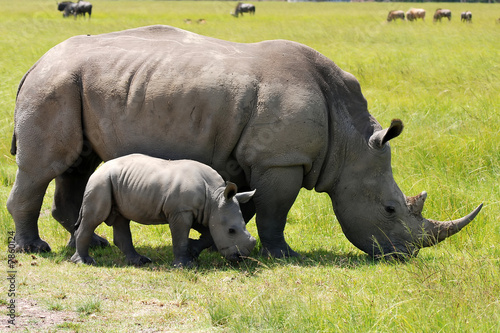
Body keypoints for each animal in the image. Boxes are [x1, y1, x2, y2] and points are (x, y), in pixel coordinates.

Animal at [70, 154, 256, 266]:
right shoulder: (181, 211)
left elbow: (209, 234)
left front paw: (193, 251)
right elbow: (180, 237)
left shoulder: (204, 211)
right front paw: (185, 265)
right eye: (231, 231)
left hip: (115, 181)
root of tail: (99, 169)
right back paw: (85, 262)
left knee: (121, 219)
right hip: (101, 181)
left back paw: (140, 261)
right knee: (94, 218)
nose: (241, 258)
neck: (215, 196)